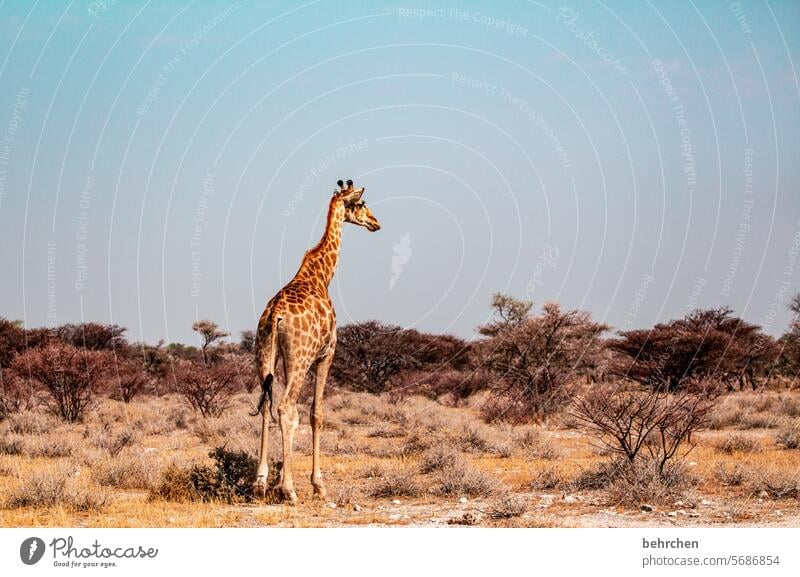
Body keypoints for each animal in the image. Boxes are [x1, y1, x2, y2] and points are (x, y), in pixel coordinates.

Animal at [253, 178, 384, 502]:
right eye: (361, 204)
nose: (376, 222)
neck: (322, 276)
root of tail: (275, 316)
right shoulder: (328, 353)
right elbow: (317, 414)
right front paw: (318, 484)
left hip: (264, 355)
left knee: (266, 407)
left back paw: (260, 483)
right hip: (300, 359)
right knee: (286, 409)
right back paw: (288, 489)